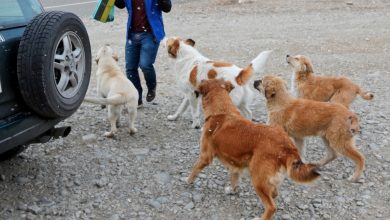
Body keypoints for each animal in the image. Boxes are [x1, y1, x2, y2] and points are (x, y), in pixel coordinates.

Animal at [187, 78, 320, 220]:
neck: (221, 110)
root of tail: (286, 146)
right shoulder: (235, 164)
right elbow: (235, 179)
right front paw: (232, 190)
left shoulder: (205, 156)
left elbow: (195, 169)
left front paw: (188, 180)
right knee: (274, 193)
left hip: (258, 181)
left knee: (271, 207)